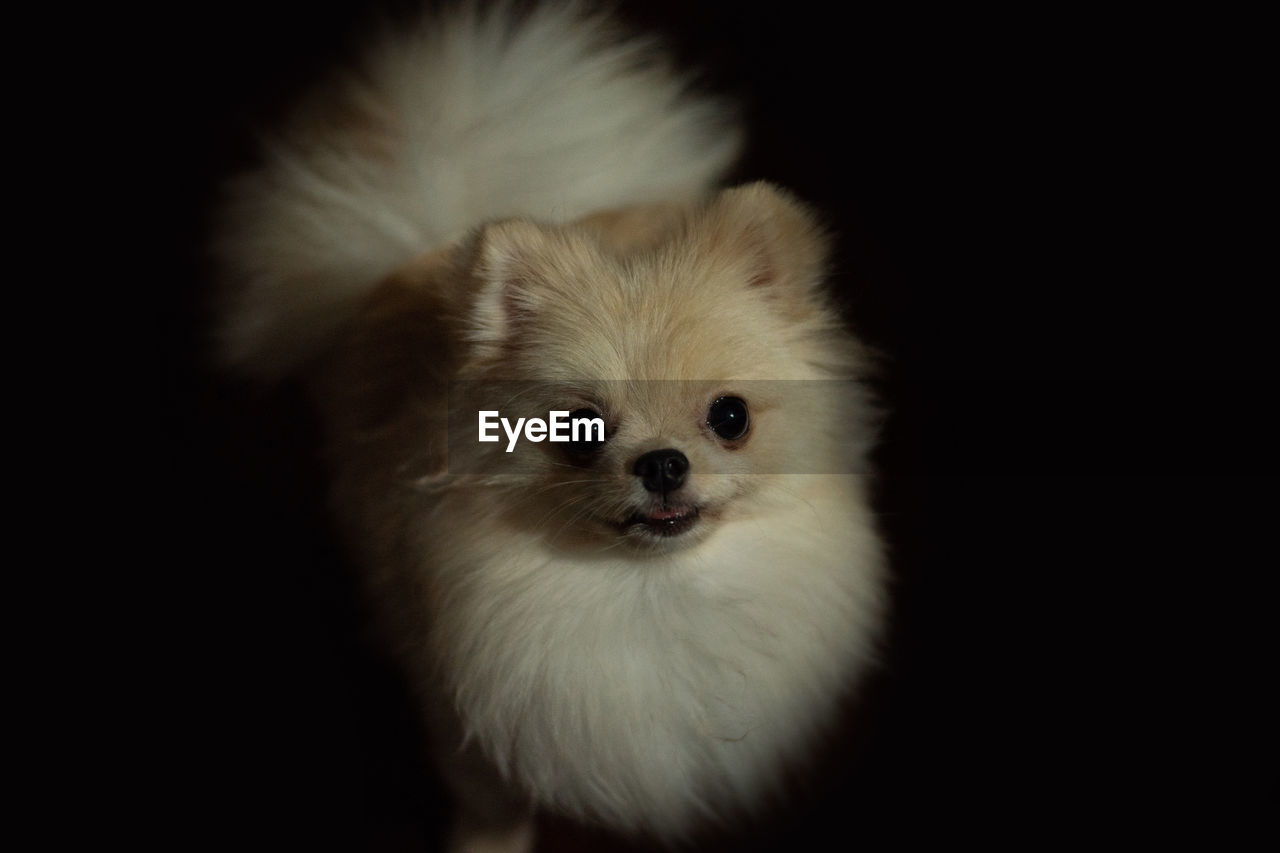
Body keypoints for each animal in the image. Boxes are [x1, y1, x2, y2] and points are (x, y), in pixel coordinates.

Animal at [215, 3, 885, 845]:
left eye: (729, 417)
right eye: (577, 431)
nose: (662, 462)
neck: (649, 592)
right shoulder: (470, 720)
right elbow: (490, 805)